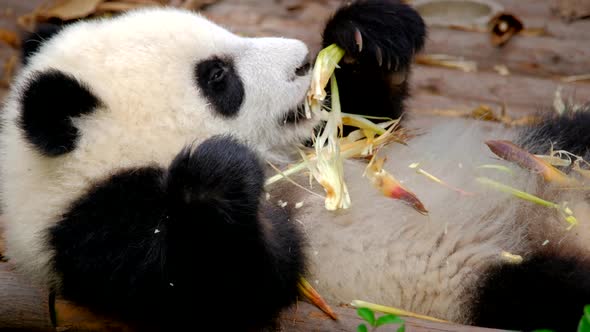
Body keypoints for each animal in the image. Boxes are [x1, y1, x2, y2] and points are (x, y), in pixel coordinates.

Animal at [3, 0, 590, 330]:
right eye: (218, 77)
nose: (303, 60)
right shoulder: (95, 231)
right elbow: (228, 287)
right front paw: (215, 178)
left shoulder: (322, 144)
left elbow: (357, 122)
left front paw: (366, 35)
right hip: (484, 282)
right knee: (553, 294)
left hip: (542, 152)